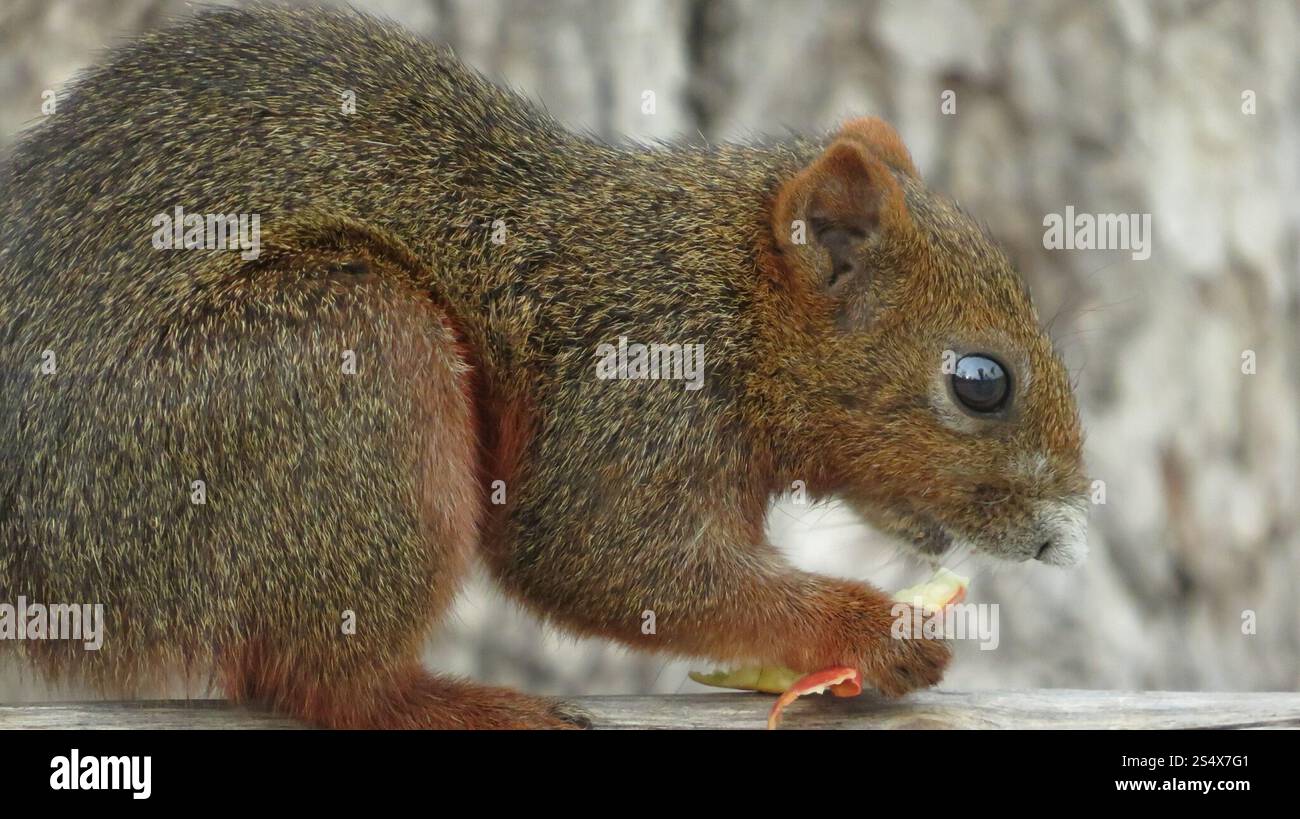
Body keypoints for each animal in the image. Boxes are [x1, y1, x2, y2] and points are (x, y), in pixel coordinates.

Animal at [2, 8, 1086, 733]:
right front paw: (871, 632)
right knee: (322, 683)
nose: (1066, 535)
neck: (729, 296)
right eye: (980, 381)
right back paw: (461, 703)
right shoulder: (633, 388)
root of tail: (38, 555)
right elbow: (600, 555)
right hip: (340, 367)